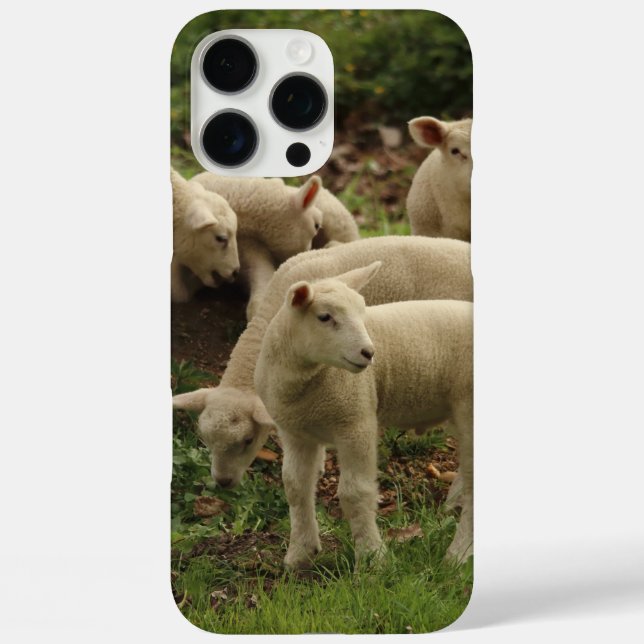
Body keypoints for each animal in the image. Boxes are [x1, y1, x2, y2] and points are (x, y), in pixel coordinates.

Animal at [254, 263, 473, 568]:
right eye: (325, 317)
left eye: (362, 312)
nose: (369, 353)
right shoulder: (295, 432)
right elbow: (296, 488)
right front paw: (299, 554)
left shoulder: (355, 421)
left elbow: (355, 492)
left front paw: (372, 558)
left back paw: (458, 555)